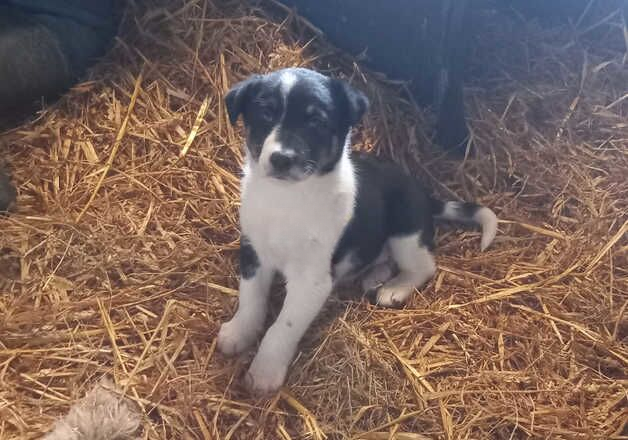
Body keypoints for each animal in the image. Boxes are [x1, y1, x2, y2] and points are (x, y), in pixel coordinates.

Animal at [216, 69, 496, 396]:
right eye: (266, 113)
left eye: (316, 121)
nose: (281, 159)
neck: (289, 197)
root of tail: (425, 195)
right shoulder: (253, 252)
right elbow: (250, 299)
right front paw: (238, 333)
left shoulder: (313, 280)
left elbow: (283, 325)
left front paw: (264, 372)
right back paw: (374, 276)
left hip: (406, 231)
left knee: (424, 266)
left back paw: (393, 288)